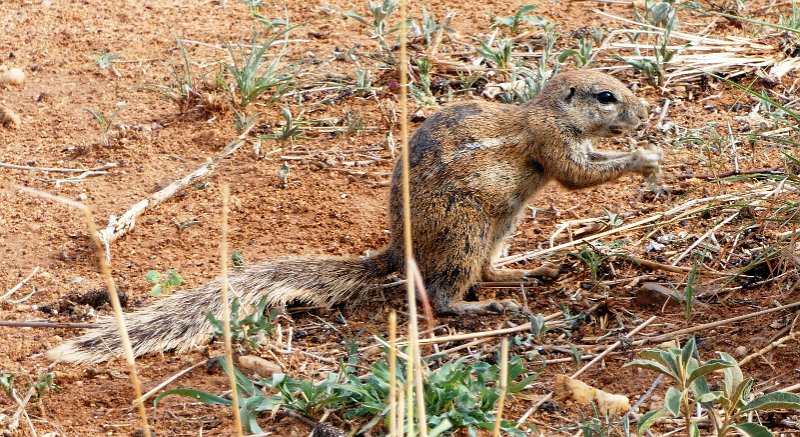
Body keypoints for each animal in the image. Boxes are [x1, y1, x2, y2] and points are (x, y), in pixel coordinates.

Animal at [47, 70, 661, 363]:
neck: (549, 111)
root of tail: (399, 247)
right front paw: (644, 158)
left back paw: (527, 272)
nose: (644, 113)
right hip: (466, 229)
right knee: (443, 296)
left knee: (485, 269)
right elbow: (579, 176)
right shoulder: (553, 143)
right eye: (606, 97)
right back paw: (487, 306)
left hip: (497, 227)